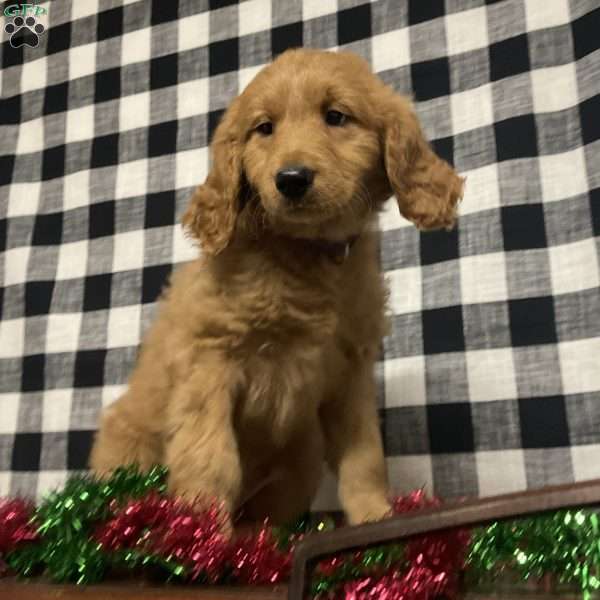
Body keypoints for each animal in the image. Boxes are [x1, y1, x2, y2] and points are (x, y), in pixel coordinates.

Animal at [90, 49, 464, 528]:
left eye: (336, 116)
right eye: (264, 128)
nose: (291, 178)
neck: (305, 255)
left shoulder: (350, 376)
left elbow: (364, 457)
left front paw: (375, 520)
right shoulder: (209, 364)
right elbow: (210, 458)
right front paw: (202, 532)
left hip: (300, 460)